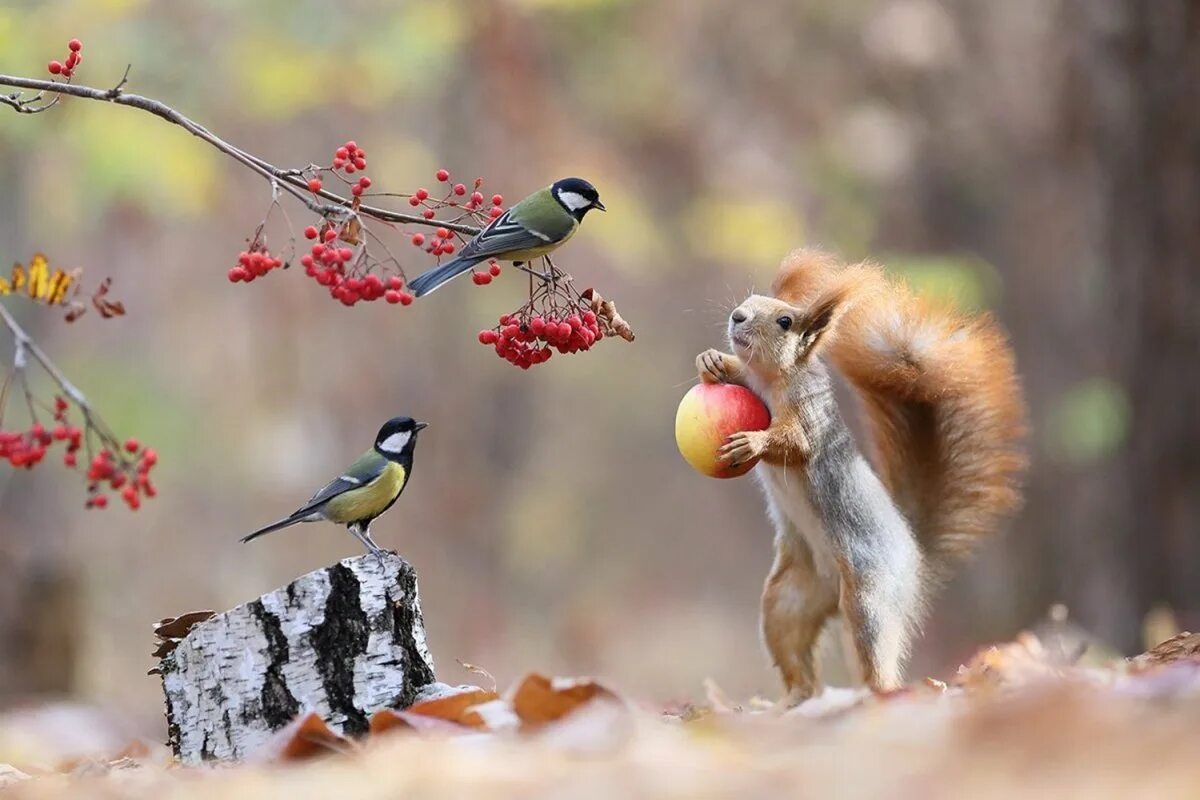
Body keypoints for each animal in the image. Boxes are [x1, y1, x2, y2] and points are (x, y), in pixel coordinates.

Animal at [700, 250, 1027, 700]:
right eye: (750, 301)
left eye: (785, 321)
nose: (737, 316)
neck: (768, 380)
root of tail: (913, 551)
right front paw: (713, 362)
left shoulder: (808, 417)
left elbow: (793, 443)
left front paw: (752, 442)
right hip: (790, 597)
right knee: (792, 645)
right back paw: (795, 699)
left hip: (869, 599)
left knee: (875, 657)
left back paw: (881, 694)